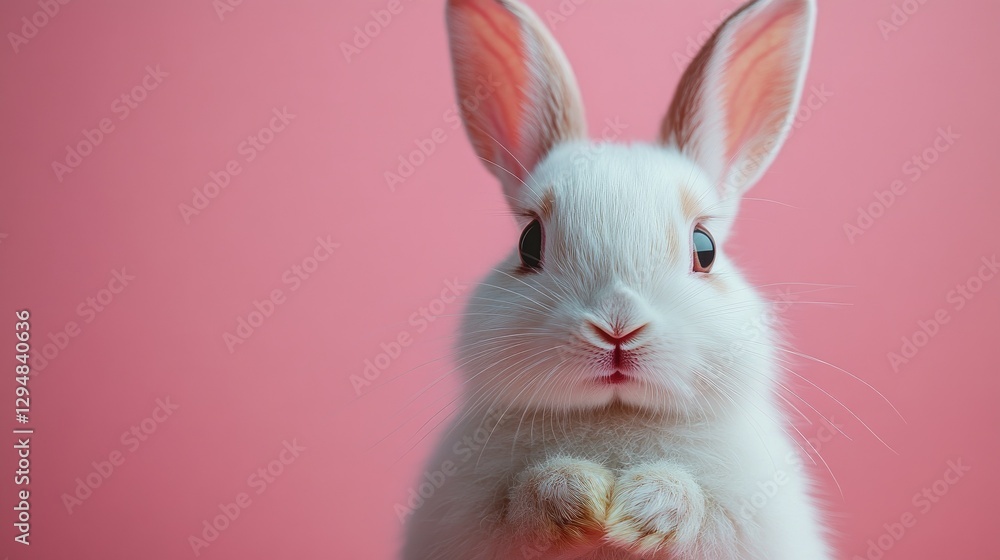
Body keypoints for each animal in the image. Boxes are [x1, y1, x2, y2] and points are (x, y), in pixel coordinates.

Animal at [401, 0, 831, 558]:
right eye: (529, 243)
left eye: (705, 249)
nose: (617, 328)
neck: (613, 414)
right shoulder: (470, 513)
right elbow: (520, 501)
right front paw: (580, 499)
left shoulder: (745, 512)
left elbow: (699, 505)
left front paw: (636, 511)